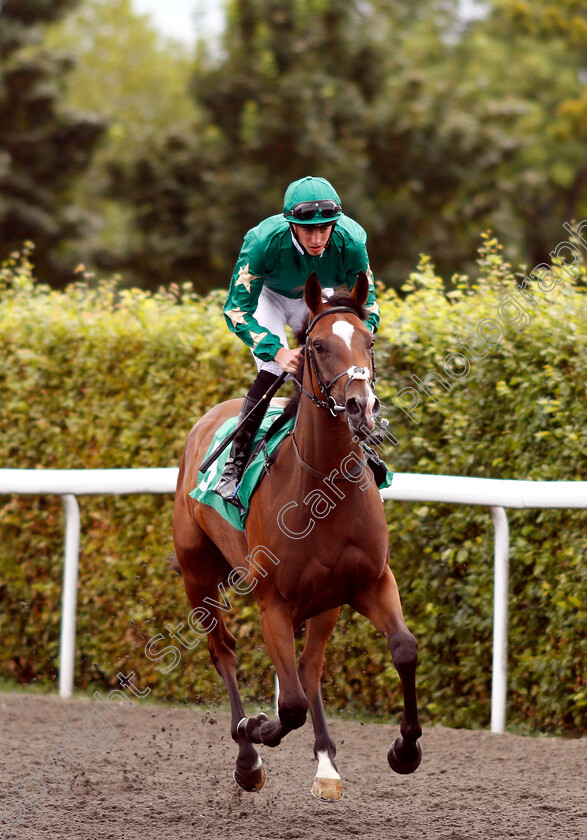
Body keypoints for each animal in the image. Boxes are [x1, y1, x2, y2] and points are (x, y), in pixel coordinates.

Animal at [173, 272, 422, 804]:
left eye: (369, 341)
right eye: (319, 345)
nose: (361, 406)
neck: (324, 486)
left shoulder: (370, 582)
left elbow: (404, 649)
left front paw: (404, 750)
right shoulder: (274, 603)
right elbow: (287, 705)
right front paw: (253, 728)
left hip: (326, 599)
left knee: (310, 667)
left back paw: (326, 764)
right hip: (198, 577)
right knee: (224, 652)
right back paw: (247, 757)